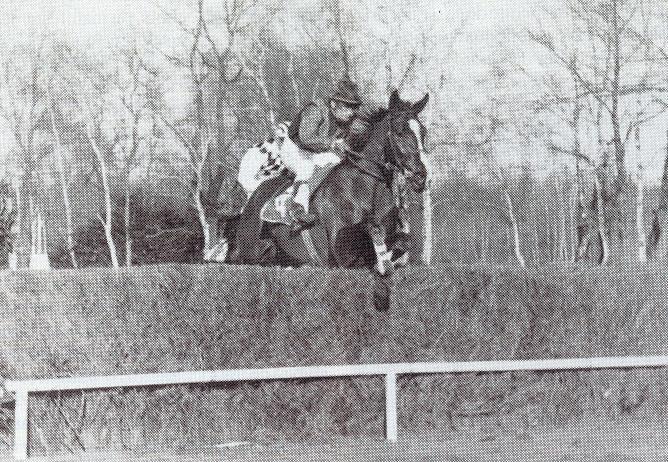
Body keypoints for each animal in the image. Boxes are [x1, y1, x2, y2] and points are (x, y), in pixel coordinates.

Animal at [219, 88, 428, 308]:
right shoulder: (341, 252)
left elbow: (404, 241)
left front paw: (383, 261)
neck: (366, 187)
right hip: (250, 250)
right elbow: (369, 229)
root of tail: (254, 196)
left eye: (423, 132)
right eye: (399, 131)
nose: (421, 177)